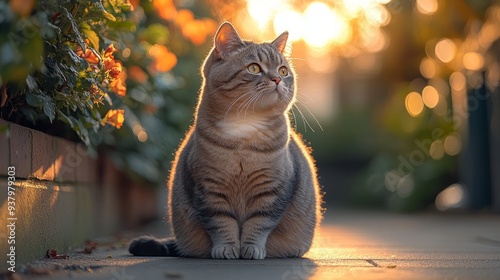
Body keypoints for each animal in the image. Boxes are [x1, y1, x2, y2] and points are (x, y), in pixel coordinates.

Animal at [129, 21, 322, 260]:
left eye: (283, 71)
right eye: (254, 68)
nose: (277, 79)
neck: (244, 133)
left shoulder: (272, 191)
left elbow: (259, 223)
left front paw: (251, 248)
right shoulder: (209, 189)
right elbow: (221, 223)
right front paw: (227, 247)